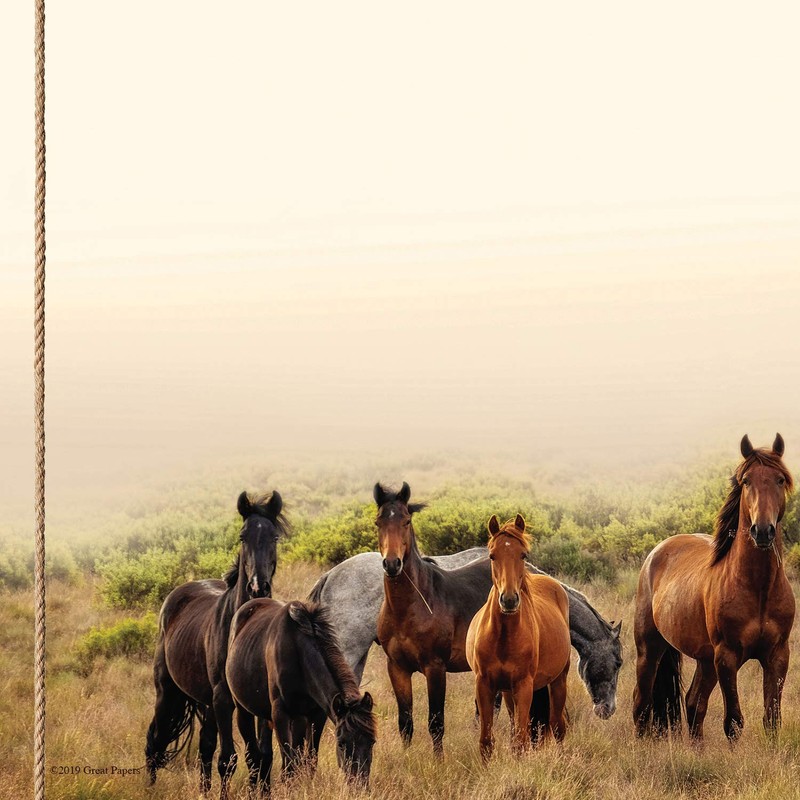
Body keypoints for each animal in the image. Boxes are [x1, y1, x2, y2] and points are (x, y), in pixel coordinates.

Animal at [144, 490, 287, 798]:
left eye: (275, 536)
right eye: (243, 536)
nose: (258, 587)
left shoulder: (257, 702)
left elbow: (262, 756)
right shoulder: (224, 699)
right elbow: (230, 759)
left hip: (205, 702)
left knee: (205, 746)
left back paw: (203, 789)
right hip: (168, 693)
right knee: (155, 739)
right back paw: (149, 787)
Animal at [226, 598, 377, 794]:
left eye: (372, 742)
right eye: (341, 743)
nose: (360, 787)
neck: (298, 653)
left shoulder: (317, 715)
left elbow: (309, 760)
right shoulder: (280, 714)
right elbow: (289, 764)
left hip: (290, 717)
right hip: (244, 710)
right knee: (253, 754)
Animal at [467, 514, 571, 762]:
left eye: (523, 554)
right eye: (492, 555)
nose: (509, 600)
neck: (503, 637)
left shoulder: (524, 686)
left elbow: (521, 741)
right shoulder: (484, 684)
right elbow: (487, 741)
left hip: (558, 680)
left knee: (557, 727)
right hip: (507, 691)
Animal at [633, 434, 795, 741]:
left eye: (780, 480)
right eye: (746, 481)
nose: (763, 531)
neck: (758, 588)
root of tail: (657, 551)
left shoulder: (777, 656)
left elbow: (772, 720)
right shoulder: (727, 658)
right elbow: (733, 721)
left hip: (705, 660)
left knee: (693, 703)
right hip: (650, 648)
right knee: (642, 703)